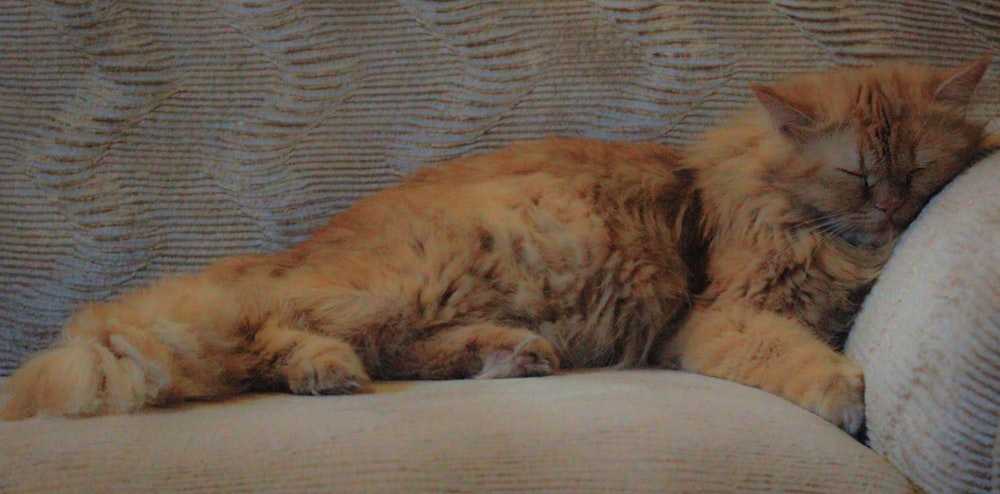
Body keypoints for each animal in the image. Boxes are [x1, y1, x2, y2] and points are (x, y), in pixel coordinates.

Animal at [0, 57, 992, 432]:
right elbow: (798, 357)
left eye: (920, 168)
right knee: (271, 324)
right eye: (857, 174)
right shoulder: (719, 315)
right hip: (434, 267)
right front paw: (842, 395)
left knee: (389, 346)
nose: (896, 210)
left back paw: (507, 358)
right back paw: (325, 371)